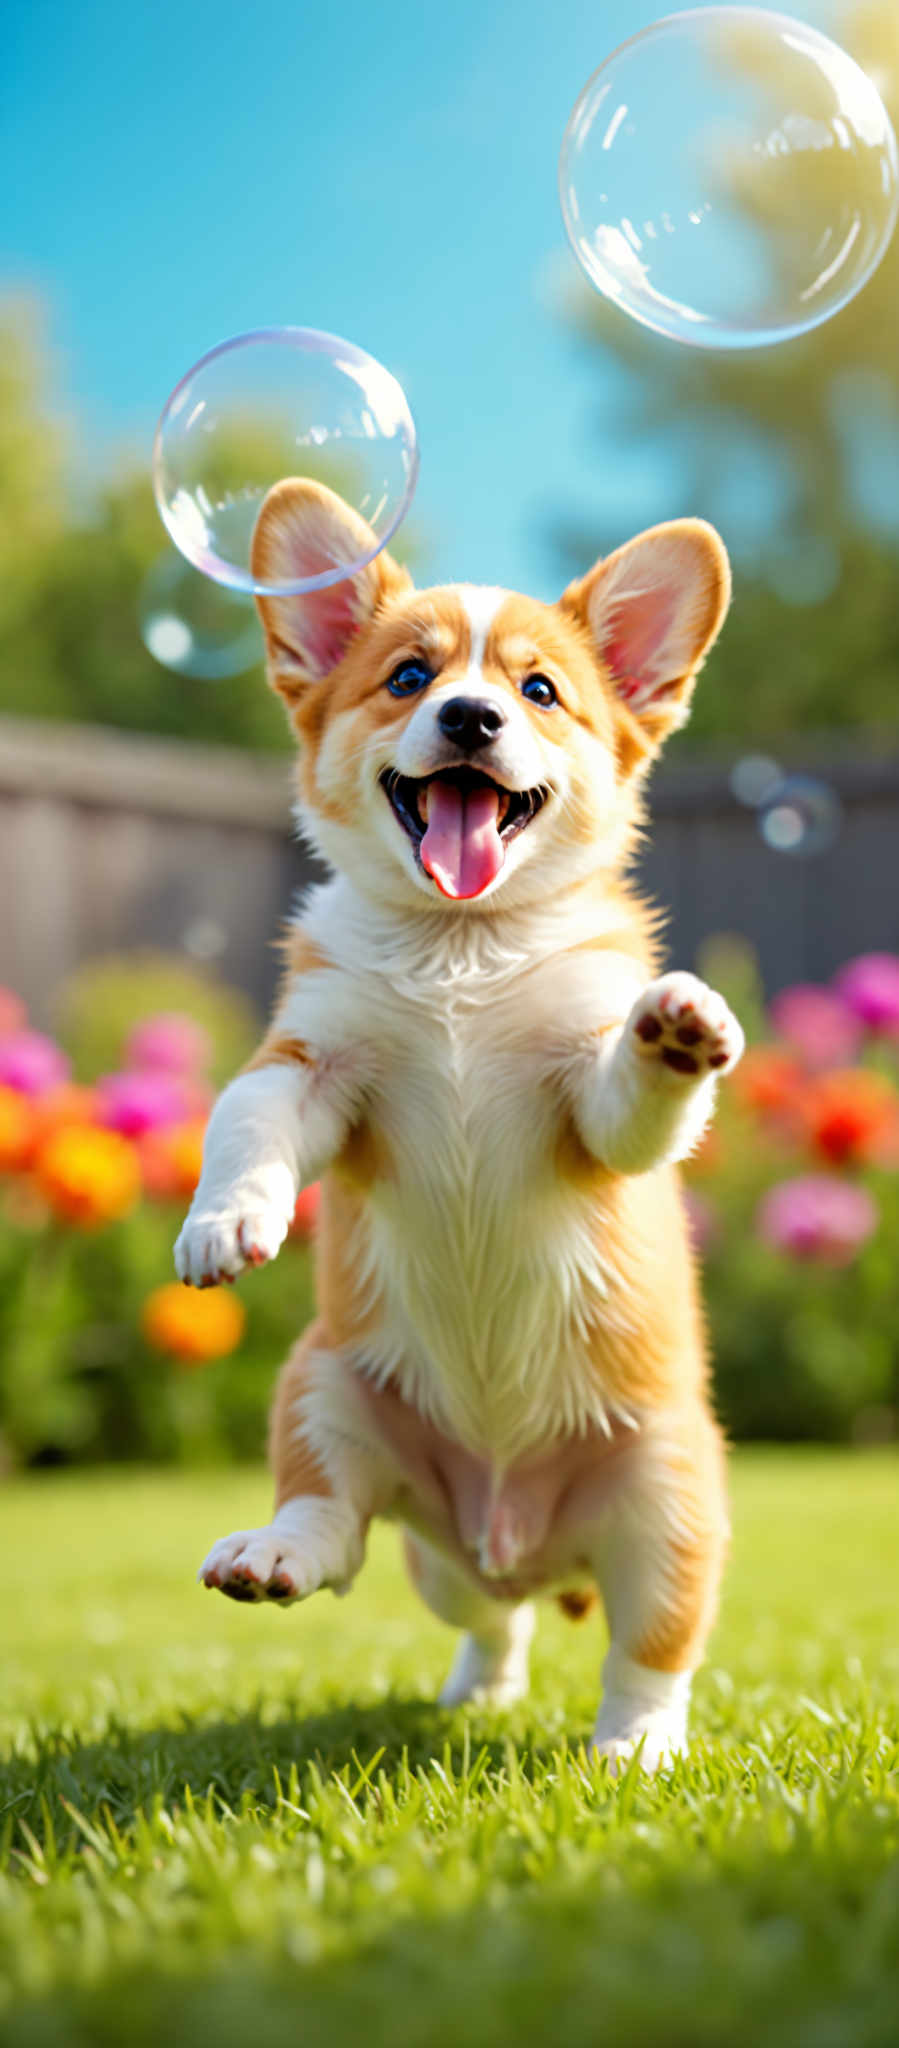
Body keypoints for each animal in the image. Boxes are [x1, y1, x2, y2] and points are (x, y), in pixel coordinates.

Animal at [172, 483, 741, 1777]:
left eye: (538, 690)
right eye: (406, 677)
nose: (470, 715)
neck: (458, 947)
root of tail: (514, 1533)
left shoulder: (585, 1108)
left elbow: (630, 1097)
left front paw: (672, 1030)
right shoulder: (311, 1062)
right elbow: (245, 1115)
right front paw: (227, 1220)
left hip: (667, 1493)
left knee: (650, 1646)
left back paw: (632, 1750)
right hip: (329, 1393)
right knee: (365, 1542)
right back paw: (291, 1567)